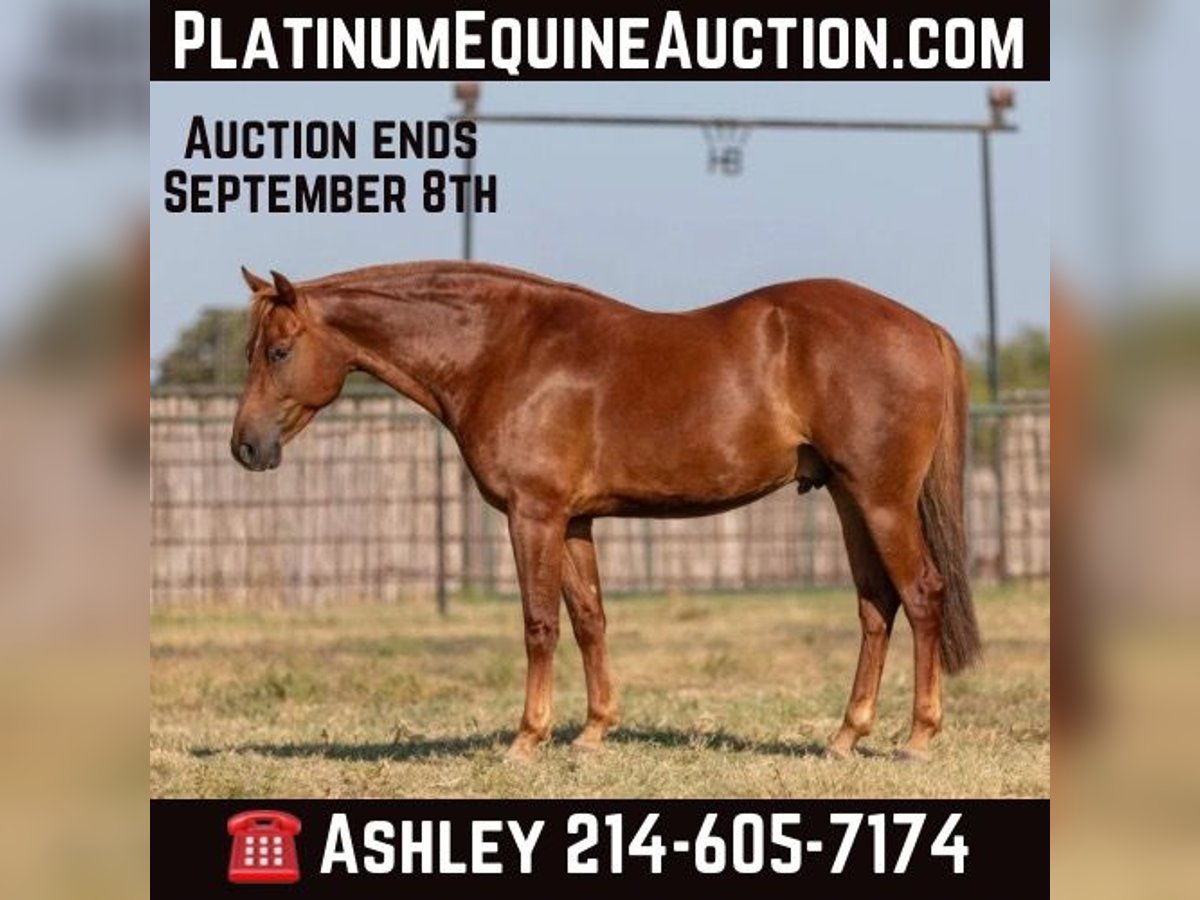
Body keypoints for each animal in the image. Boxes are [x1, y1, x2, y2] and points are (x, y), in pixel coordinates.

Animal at [231, 261, 981, 761]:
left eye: (279, 350)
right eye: (252, 351)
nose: (246, 446)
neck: (506, 350)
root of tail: (924, 329)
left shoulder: (532, 514)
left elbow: (539, 624)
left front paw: (527, 740)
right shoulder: (574, 521)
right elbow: (590, 619)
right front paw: (593, 733)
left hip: (881, 499)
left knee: (921, 595)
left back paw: (917, 738)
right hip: (850, 499)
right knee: (875, 607)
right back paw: (844, 736)